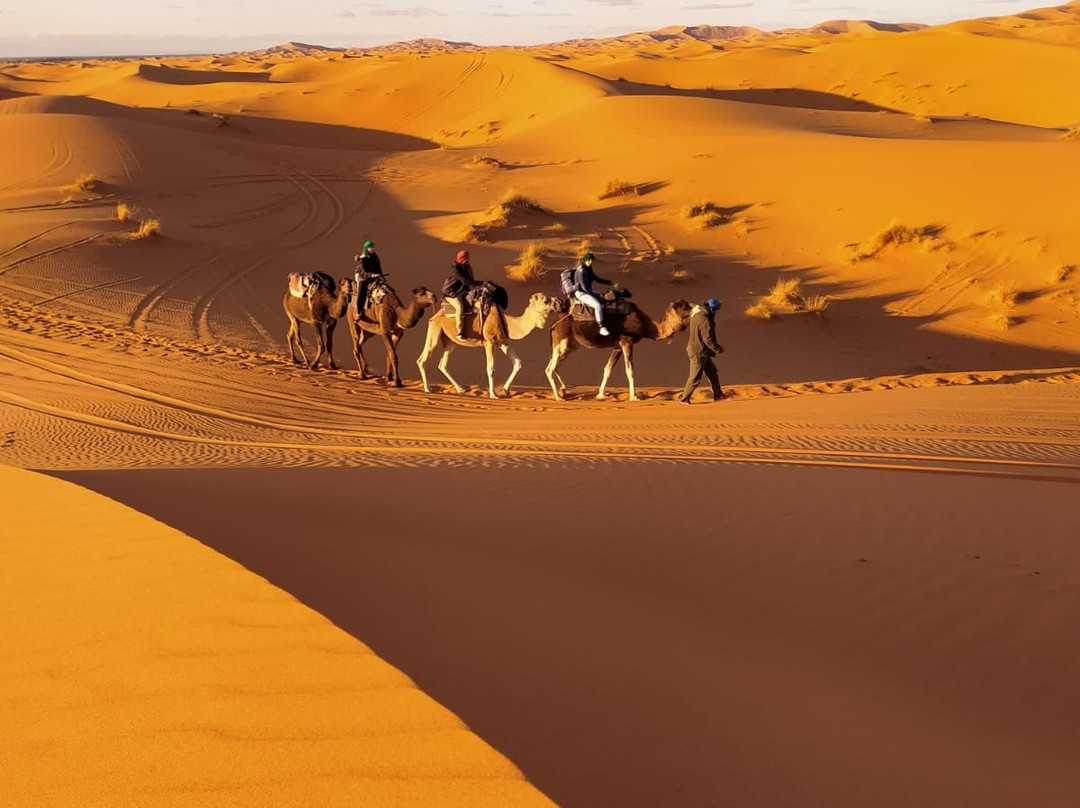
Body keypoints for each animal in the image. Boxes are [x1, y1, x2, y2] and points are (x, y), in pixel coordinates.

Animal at [417, 291, 556, 398]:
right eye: (546, 301)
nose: (557, 301)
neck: (506, 321)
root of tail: (435, 315)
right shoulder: (489, 342)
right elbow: (491, 368)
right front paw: (493, 395)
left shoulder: (503, 342)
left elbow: (518, 362)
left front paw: (505, 389)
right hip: (435, 331)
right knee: (422, 359)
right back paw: (427, 389)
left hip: (450, 341)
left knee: (442, 364)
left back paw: (460, 389)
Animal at [546, 297, 693, 401]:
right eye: (684, 307)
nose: (697, 306)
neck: (647, 325)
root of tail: (555, 323)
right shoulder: (627, 342)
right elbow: (630, 370)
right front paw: (634, 397)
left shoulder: (617, 346)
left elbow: (608, 369)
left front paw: (600, 395)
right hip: (562, 342)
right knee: (549, 368)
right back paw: (558, 397)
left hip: (571, 346)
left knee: (555, 365)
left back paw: (563, 390)